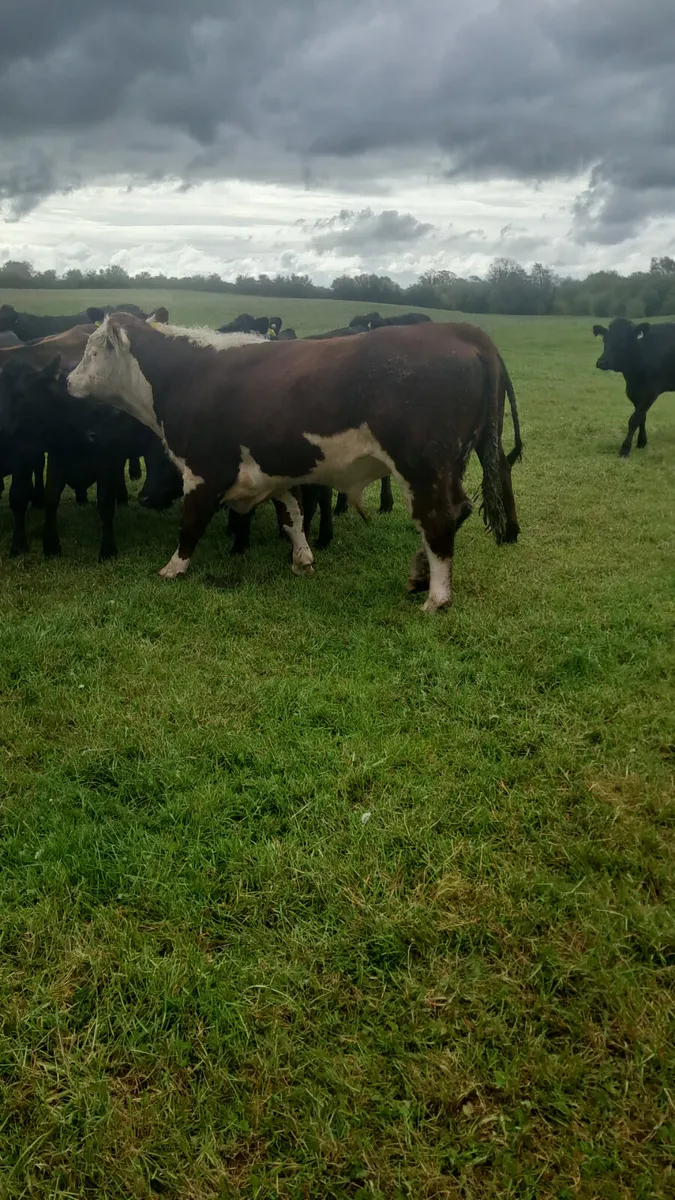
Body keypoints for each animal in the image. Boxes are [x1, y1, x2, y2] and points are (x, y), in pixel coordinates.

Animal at [67, 314, 521, 611]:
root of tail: (459, 331)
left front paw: (173, 568)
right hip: (450, 464)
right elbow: (292, 516)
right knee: (457, 511)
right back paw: (421, 573)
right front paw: (303, 560)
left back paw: (436, 598)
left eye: (92, 350)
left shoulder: (203, 470)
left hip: (422, 465)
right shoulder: (273, 471)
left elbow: (191, 522)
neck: (184, 373)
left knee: (438, 518)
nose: (68, 380)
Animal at [593, 318, 675, 456]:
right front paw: (642, 442)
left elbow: (634, 419)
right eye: (605, 340)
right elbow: (642, 417)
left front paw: (625, 449)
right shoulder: (635, 392)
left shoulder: (650, 393)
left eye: (622, 340)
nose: (602, 362)